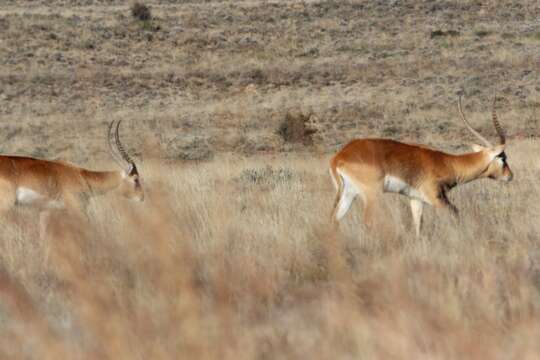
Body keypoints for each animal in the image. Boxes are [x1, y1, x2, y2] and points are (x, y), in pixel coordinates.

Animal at [332, 95, 512, 236]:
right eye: (503, 157)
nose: (510, 176)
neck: (448, 163)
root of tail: (339, 157)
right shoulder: (436, 198)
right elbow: (455, 214)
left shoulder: (416, 199)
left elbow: (418, 226)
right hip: (371, 195)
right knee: (368, 221)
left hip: (349, 194)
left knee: (334, 219)